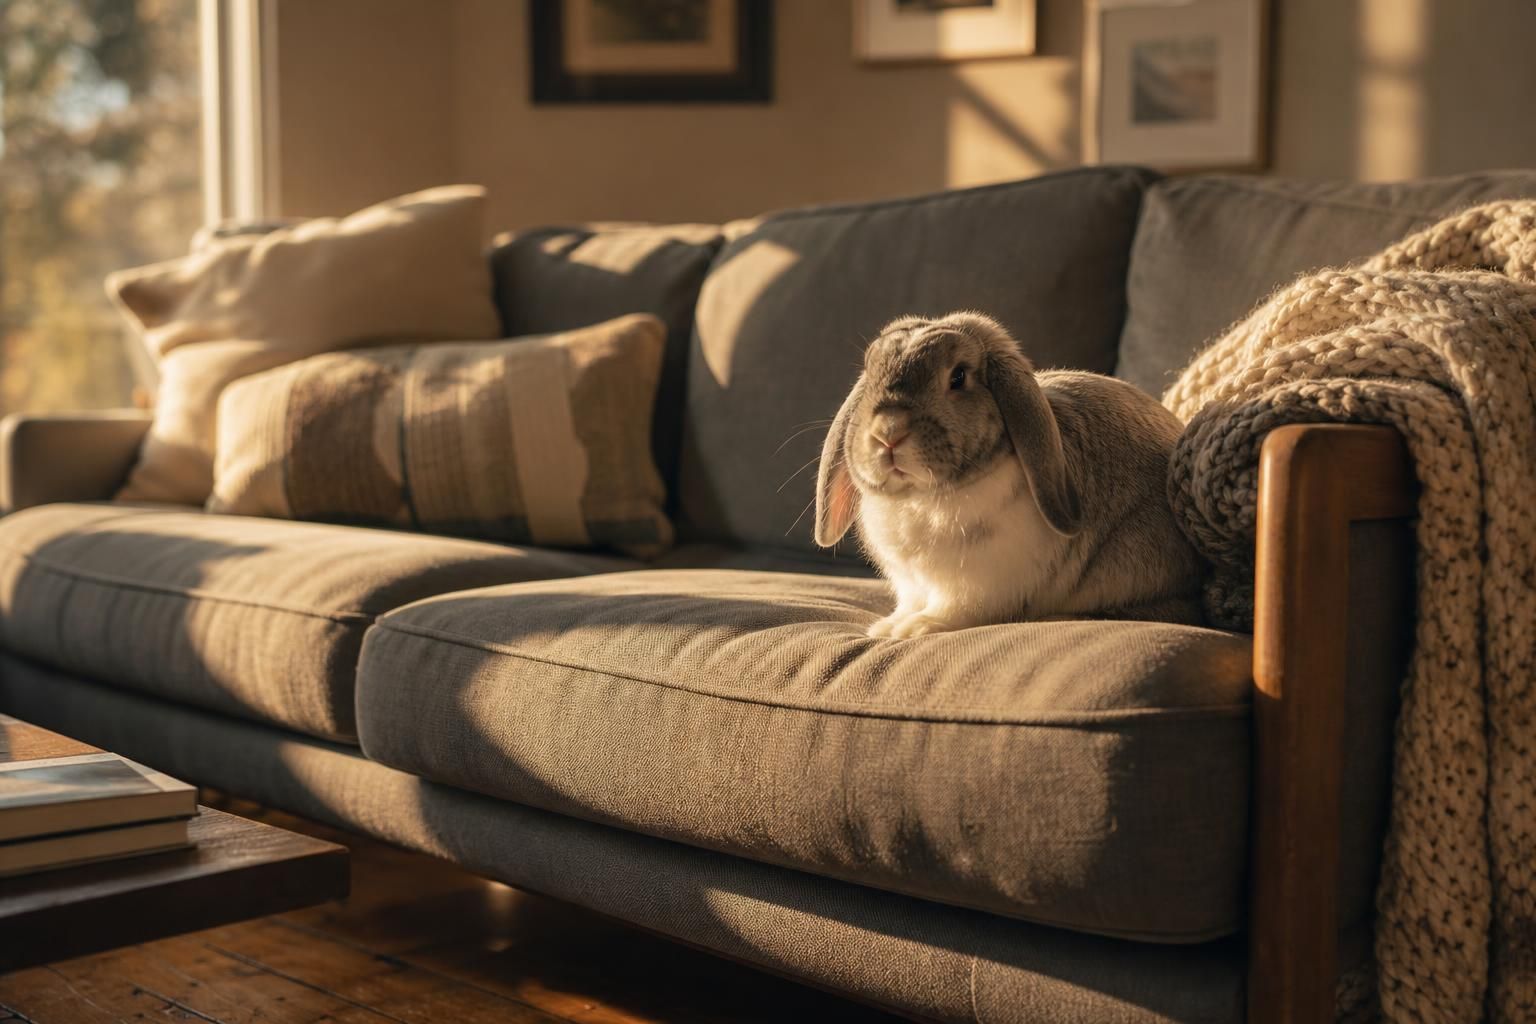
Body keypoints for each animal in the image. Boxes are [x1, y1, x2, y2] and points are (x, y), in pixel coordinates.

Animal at [814, 311, 1205, 638]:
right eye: (870, 371)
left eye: (958, 376)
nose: (888, 432)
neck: (919, 495)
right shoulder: (911, 584)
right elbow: (909, 603)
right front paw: (888, 626)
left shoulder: (975, 585)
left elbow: (954, 609)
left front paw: (914, 629)